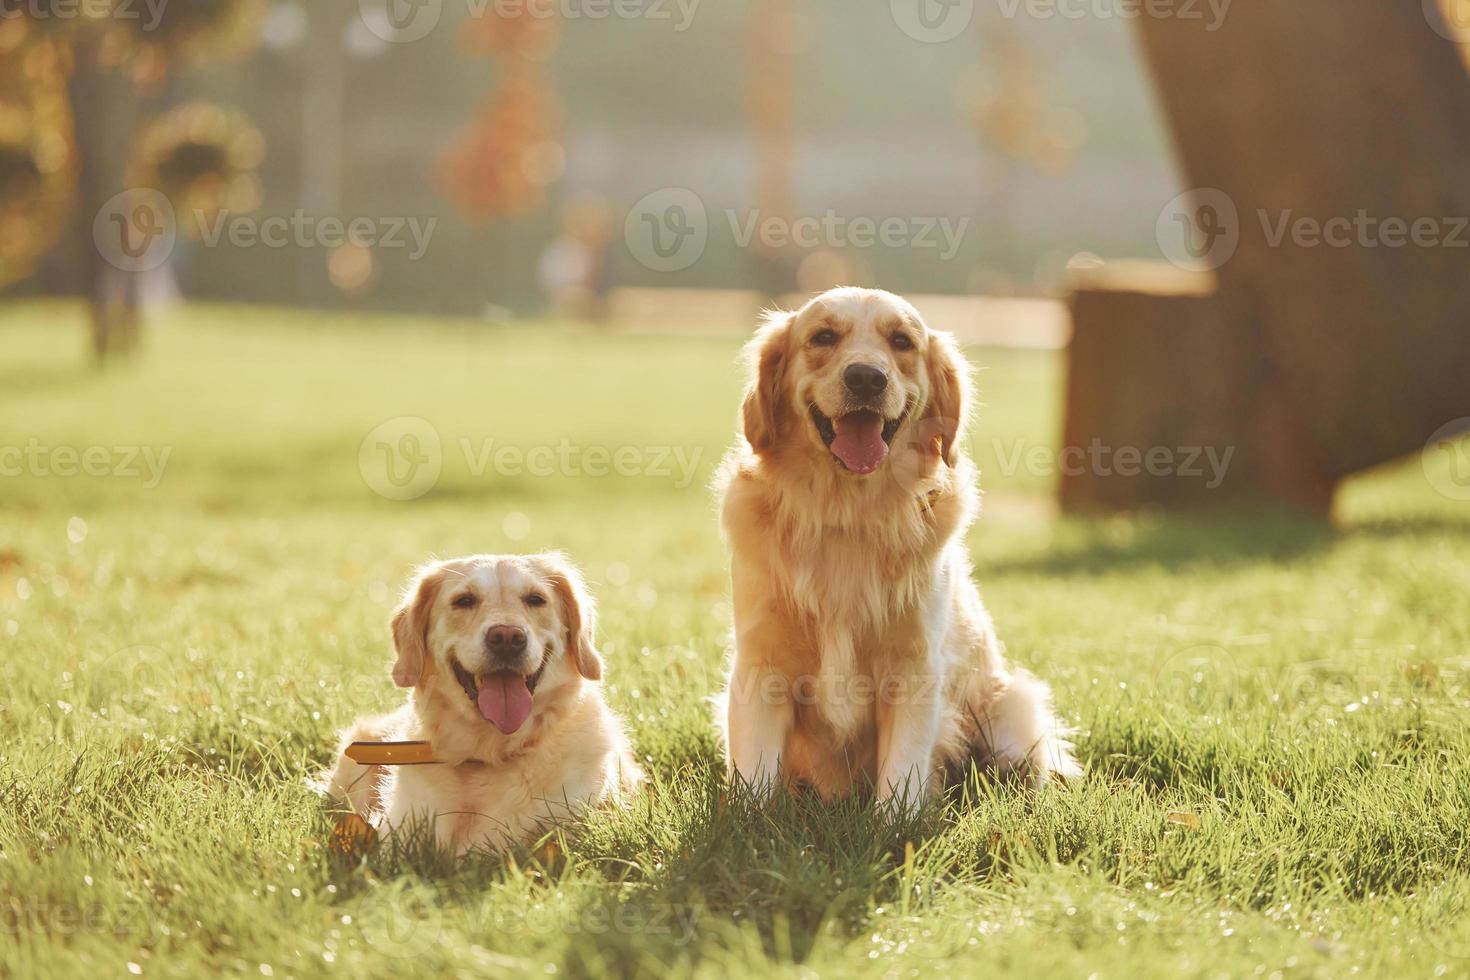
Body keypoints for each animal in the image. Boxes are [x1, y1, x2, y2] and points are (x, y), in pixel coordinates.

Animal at [717, 287, 1087, 811]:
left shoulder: (914, 670)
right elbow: (754, 776)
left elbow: (903, 776)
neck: (847, 517)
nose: (866, 378)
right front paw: (749, 823)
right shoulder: (760, 666)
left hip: (1013, 709)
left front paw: (896, 825)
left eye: (901, 341)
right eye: (823, 337)